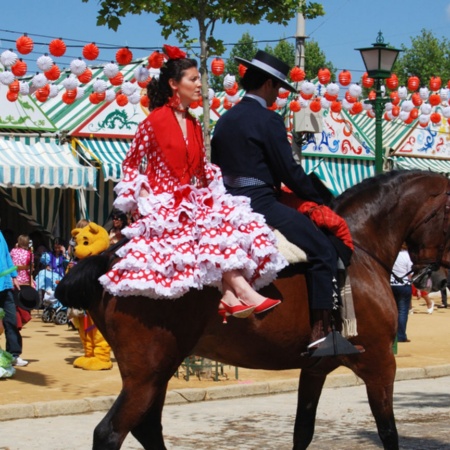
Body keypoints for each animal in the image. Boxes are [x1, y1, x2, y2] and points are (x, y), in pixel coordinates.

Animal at [56, 170, 450, 450]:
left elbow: (303, 431)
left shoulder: (316, 367)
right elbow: (388, 432)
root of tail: (108, 258)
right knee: (110, 432)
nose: (440, 277)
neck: (360, 248)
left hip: (157, 371)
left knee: (147, 428)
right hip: (148, 373)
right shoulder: (380, 362)